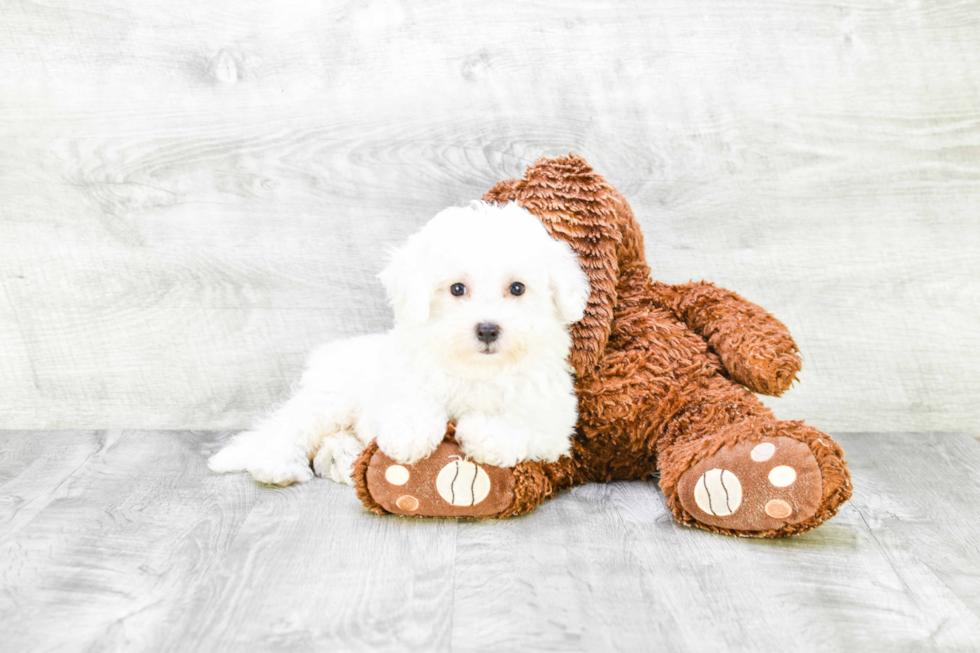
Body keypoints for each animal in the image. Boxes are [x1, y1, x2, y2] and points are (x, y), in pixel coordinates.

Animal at [209, 201, 588, 486]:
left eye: (518, 288)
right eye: (457, 289)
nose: (487, 329)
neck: (477, 369)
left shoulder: (556, 418)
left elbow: (523, 422)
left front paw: (485, 435)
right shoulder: (399, 382)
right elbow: (407, 400)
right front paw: (411, 433)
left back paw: (343, 458)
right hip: (332, 398)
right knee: (289, 427)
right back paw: (278, 464)